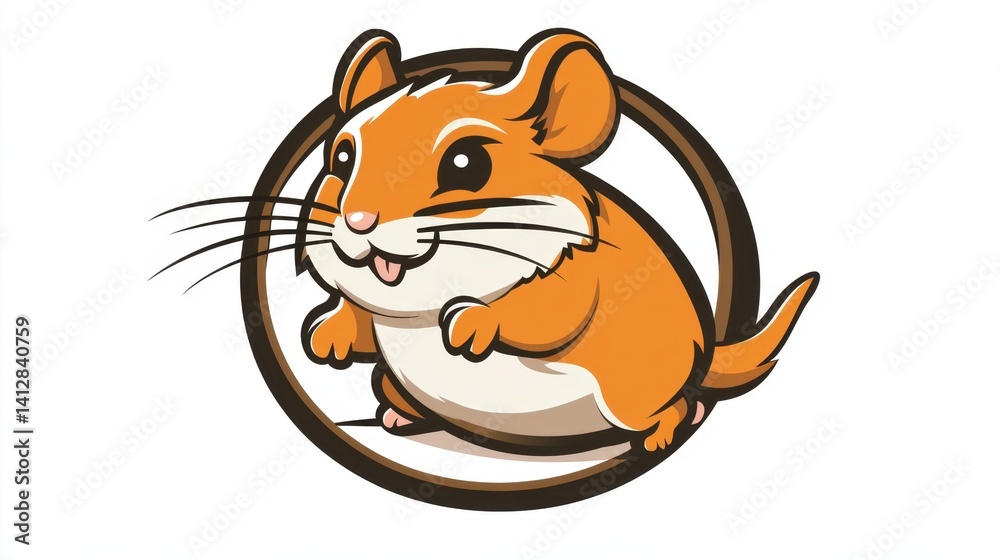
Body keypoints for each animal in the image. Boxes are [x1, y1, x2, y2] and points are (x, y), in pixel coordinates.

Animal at [298, 29, 818, 453]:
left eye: (466, 164)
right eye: (341, 159)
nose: (358, 220)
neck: (424, 304)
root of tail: (705, 354)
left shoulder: (575, 280)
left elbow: (546, 313)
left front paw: (469, 322)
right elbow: (358, 317)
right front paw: (326, 335)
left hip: (633, 398)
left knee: (674, 408)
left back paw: (662, 436)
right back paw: (396, 414)